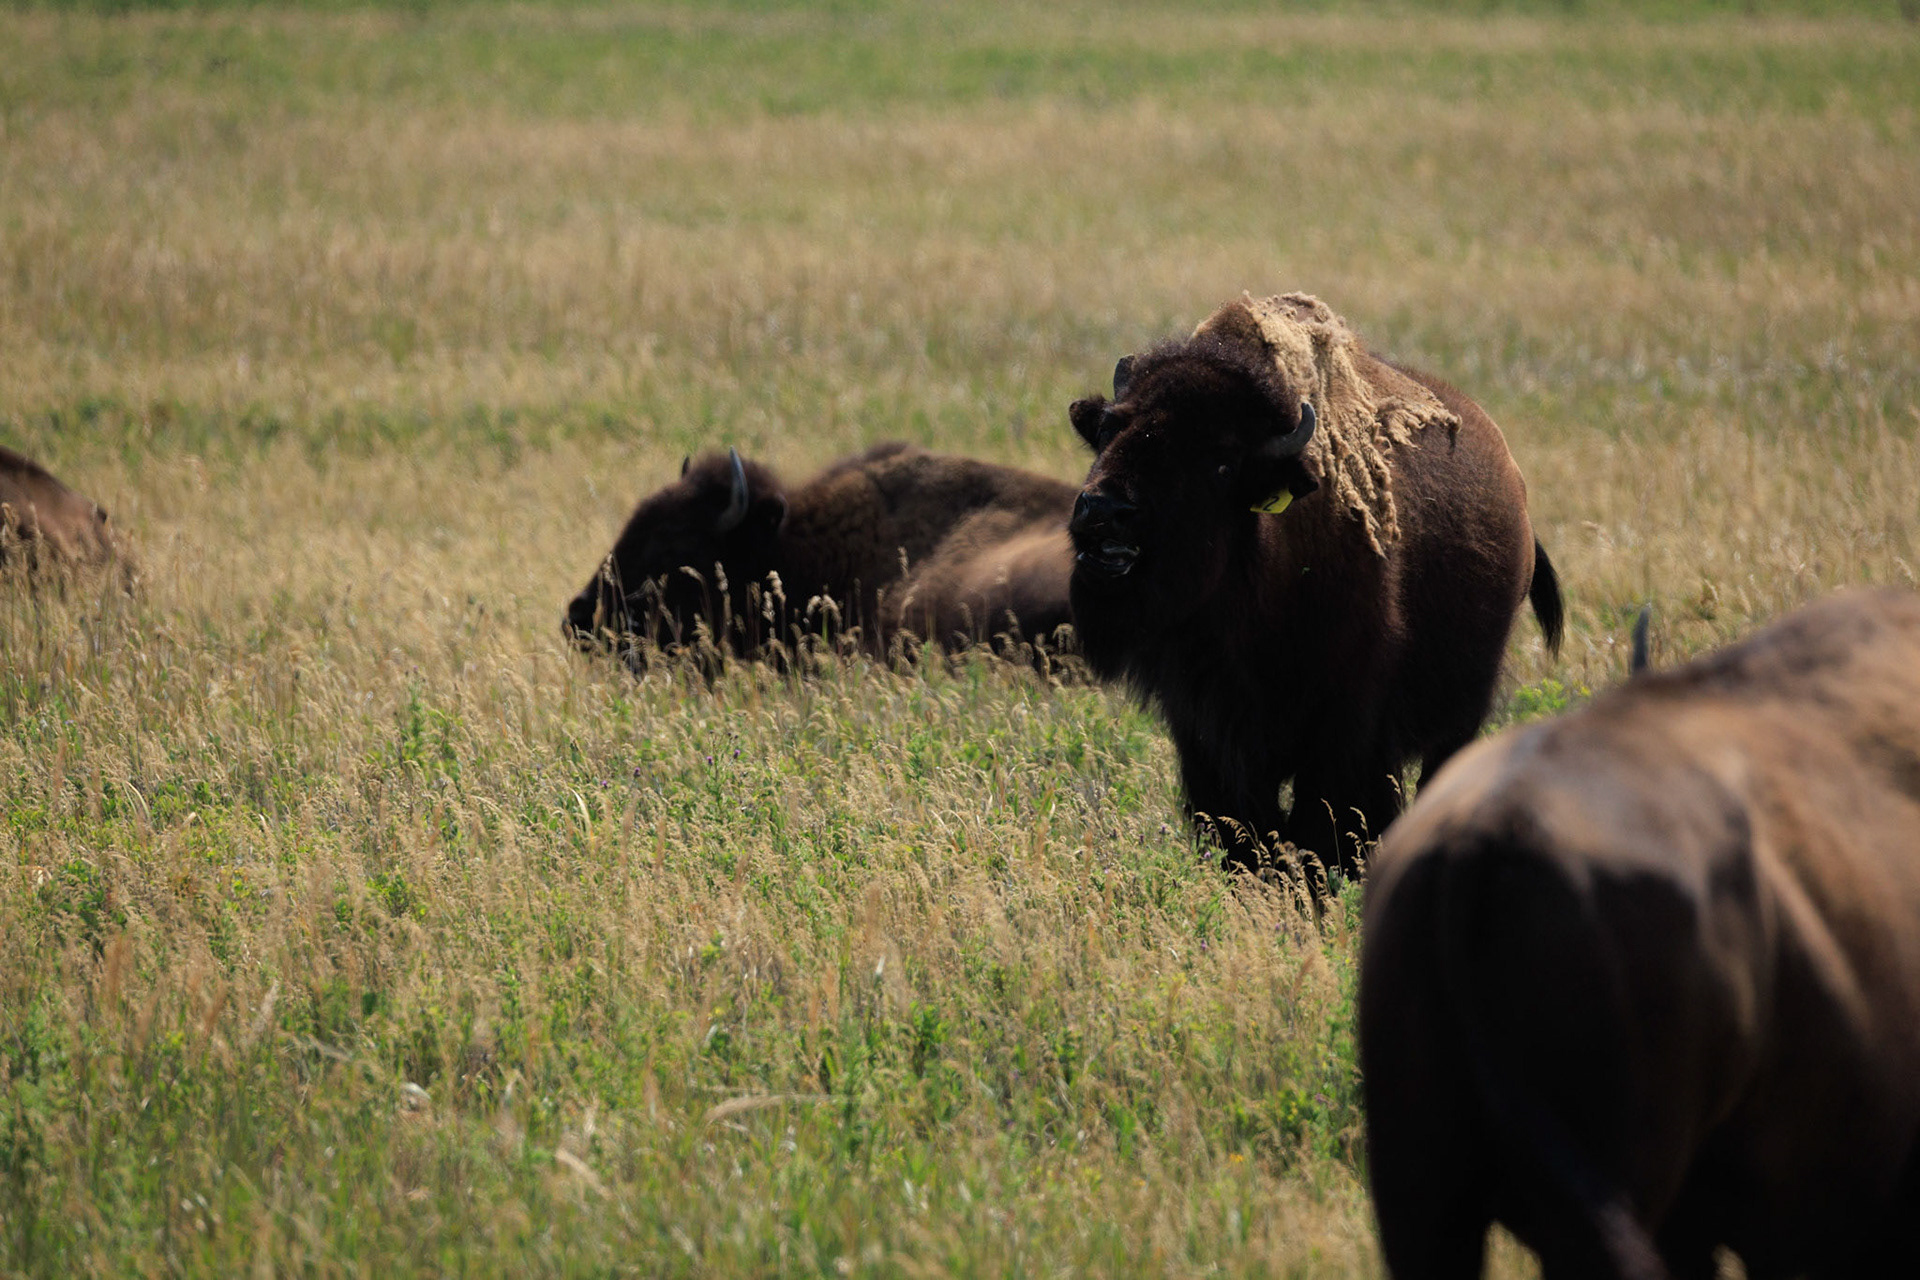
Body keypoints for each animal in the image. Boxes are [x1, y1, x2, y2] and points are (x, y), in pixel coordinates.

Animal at [1066, 293, 1562, 877]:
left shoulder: (1343, 723)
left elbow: (1322, 821)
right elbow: (1244, 826)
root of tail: (1515, 490)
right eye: (1108, 430)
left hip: (1461, 713)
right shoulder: (1206, 730)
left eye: (1220, 461)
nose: (1104, 511)